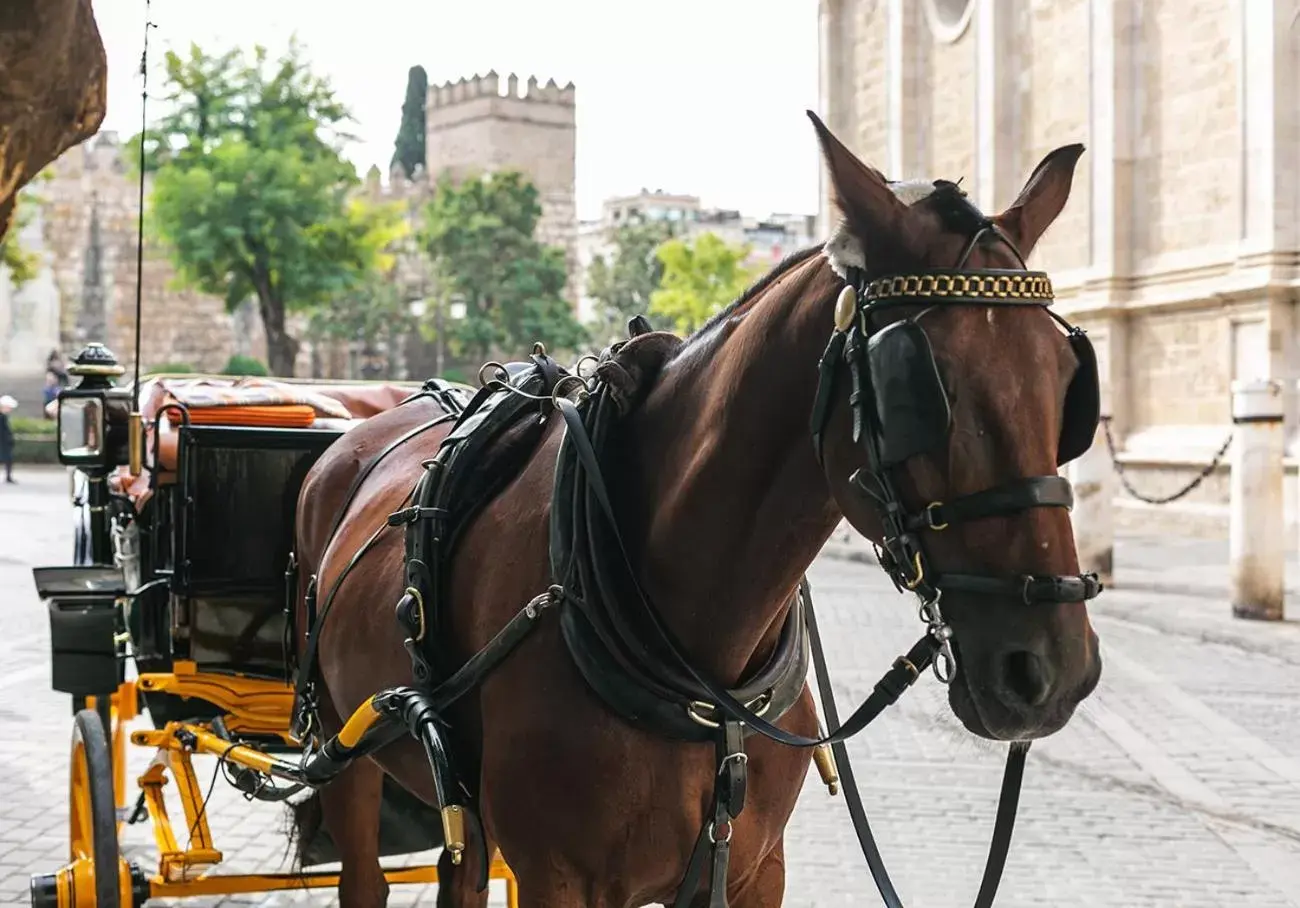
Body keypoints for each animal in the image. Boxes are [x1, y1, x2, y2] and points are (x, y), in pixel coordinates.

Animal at [289, 113, 1102, 905]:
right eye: (917, 389)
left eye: (1070, 382)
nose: (1051, 671)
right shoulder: (557, 879)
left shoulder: (755, 867)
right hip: (341, 746)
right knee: (362, 874)